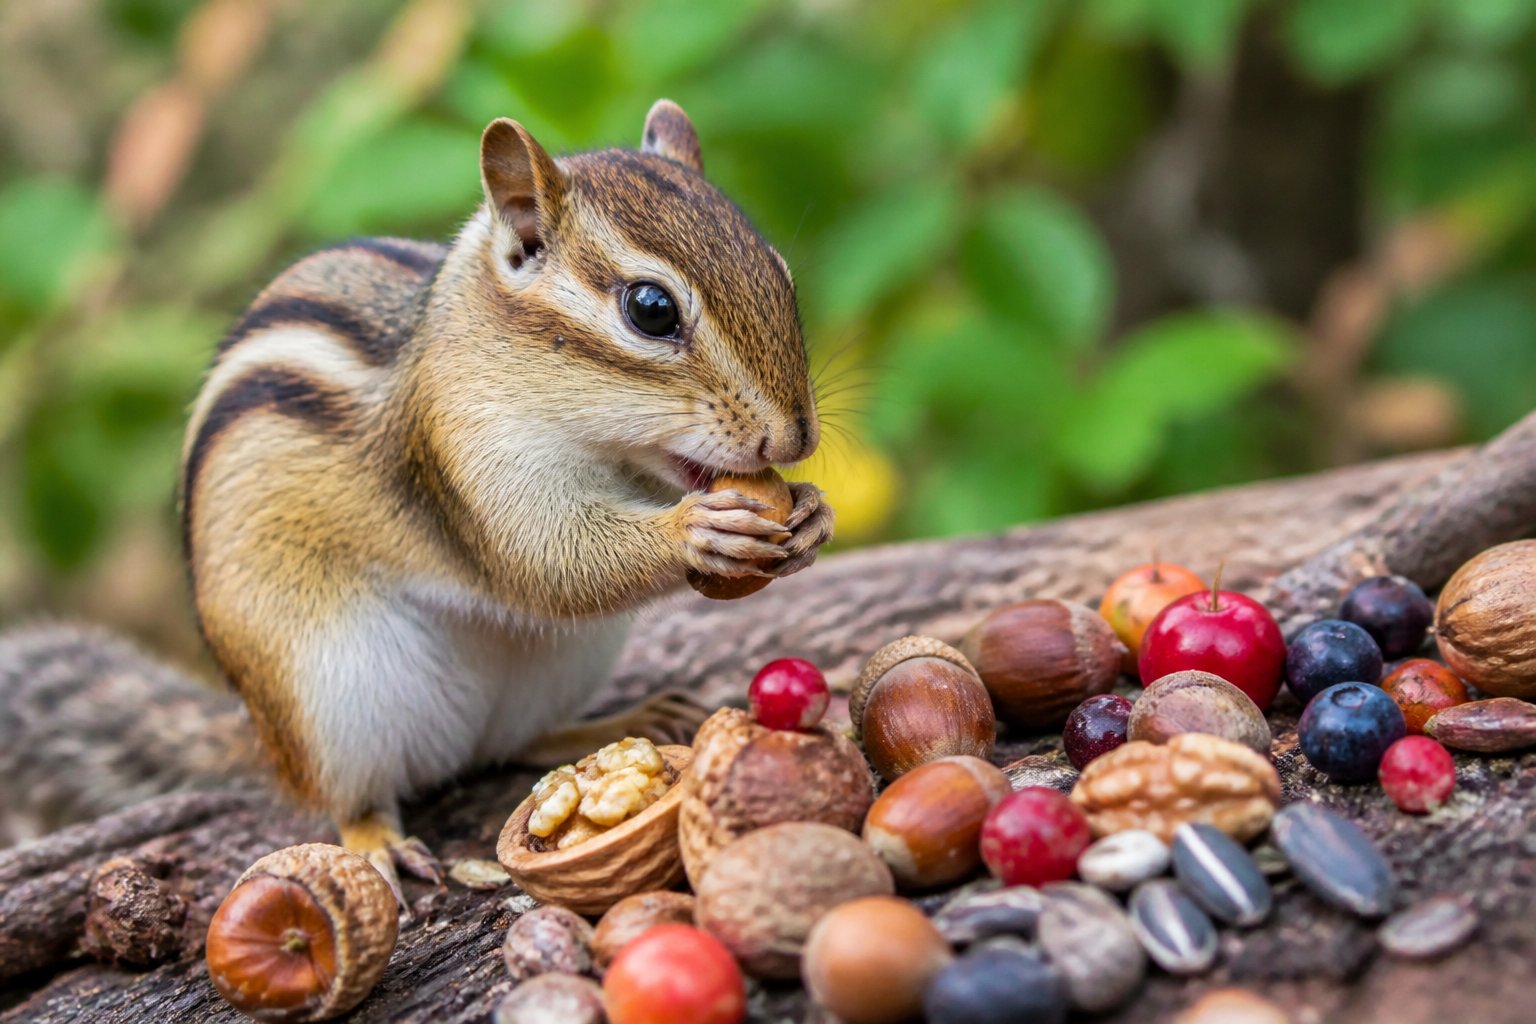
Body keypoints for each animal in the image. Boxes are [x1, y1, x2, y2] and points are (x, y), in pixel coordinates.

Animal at [0, 100, 834, 898]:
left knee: (513, 745)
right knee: (351, 797)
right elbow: (547, 564)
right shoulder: (461, 454)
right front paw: (697, 530)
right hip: (331, 698)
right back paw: (380, 845)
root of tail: (267, 740)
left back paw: (622, 721)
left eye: (781, 272)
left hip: (560, 667)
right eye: (651, 308)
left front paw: (813, 514)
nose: (794, 438)